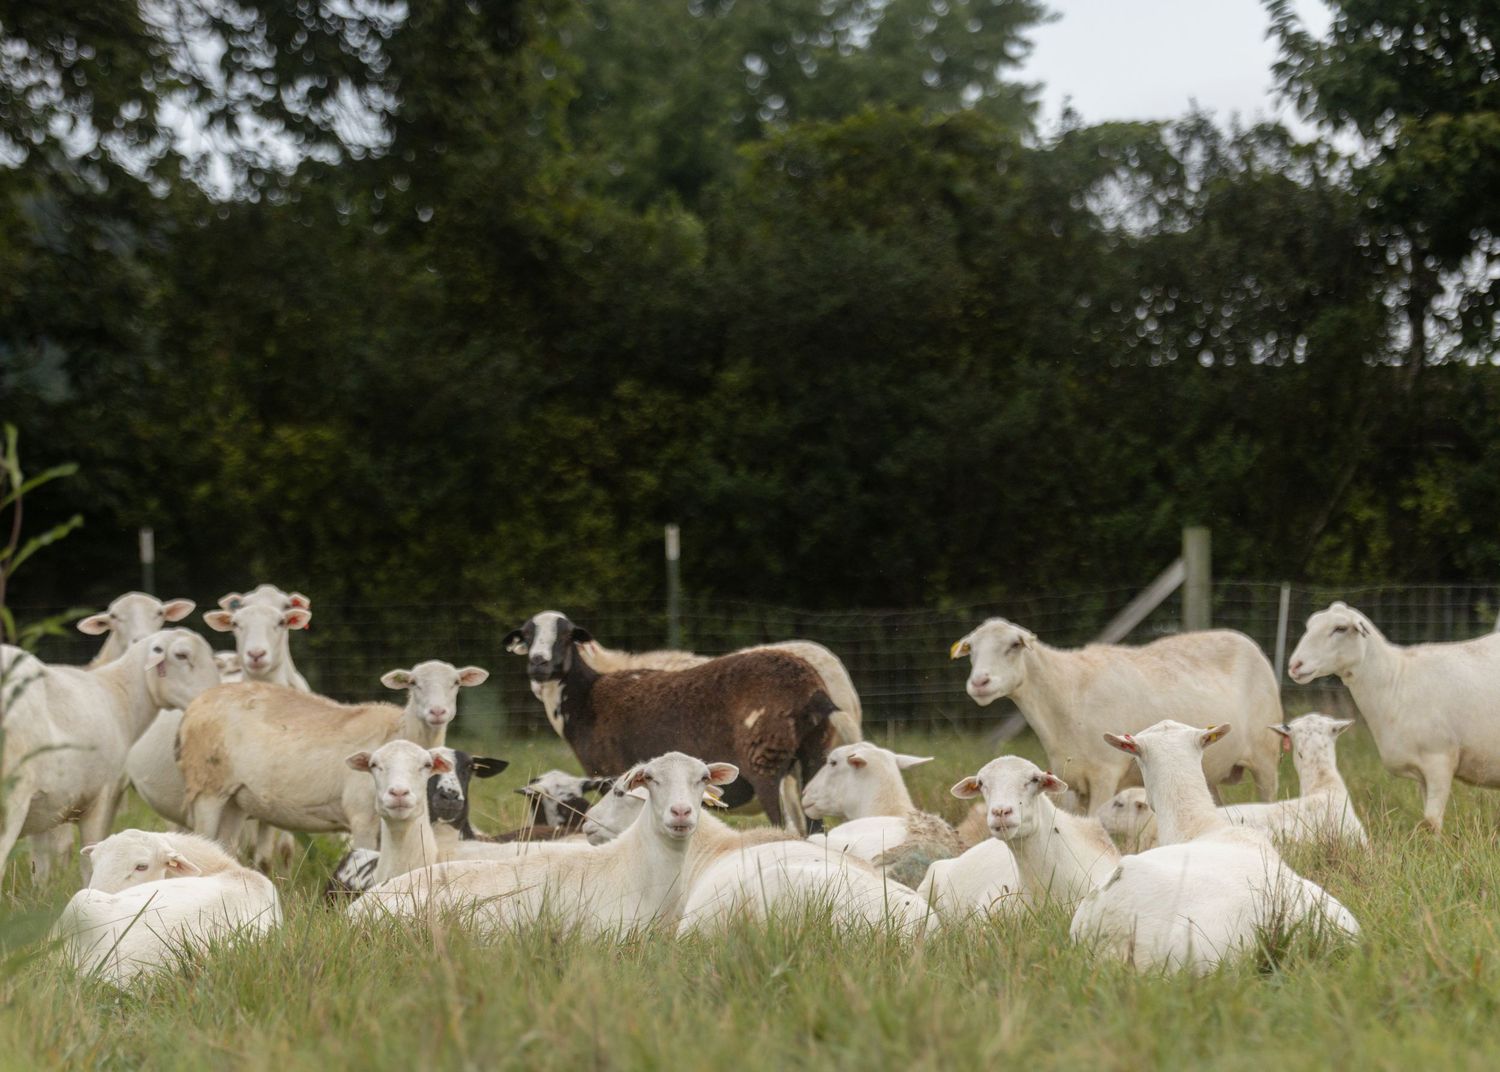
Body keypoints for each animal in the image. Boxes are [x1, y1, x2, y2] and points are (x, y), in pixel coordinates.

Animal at [0, 630, 220, 880]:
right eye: (181, 655)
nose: (210, 696)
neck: (118, 694)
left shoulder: (44, 808)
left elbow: (40, 868)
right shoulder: (101, 796)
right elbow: (89, 863)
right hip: (12, 799)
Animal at [178, 660, 488, 851]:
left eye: (456, 683)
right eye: (413, 683)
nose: (437, 712)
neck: (399, 732)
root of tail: (196, 705)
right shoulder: (362, 818)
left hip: (236, 798)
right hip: (207, 787)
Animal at [501, 613, 838, 831]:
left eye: (566, 635)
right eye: (527, 636)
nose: (539, 664)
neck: (586, 698)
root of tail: (810, 691)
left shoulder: (610, 772)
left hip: (765, 762)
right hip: (814, 757)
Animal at [951, 618, 1282, 814]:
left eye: (1014, 645)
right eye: (971, 650)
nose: (979, 683)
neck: (1068, 691)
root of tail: (1247, 642)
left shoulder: (1105, 773)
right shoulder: (1070, 778)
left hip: (1266, 756)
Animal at [1287, 600, 1500, 832]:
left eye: (1340, 628)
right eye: (1310, 625)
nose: (1295, 665)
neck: (1395, 680)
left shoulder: (1440, 760)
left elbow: (1431, 821)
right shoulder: (1423, 771)